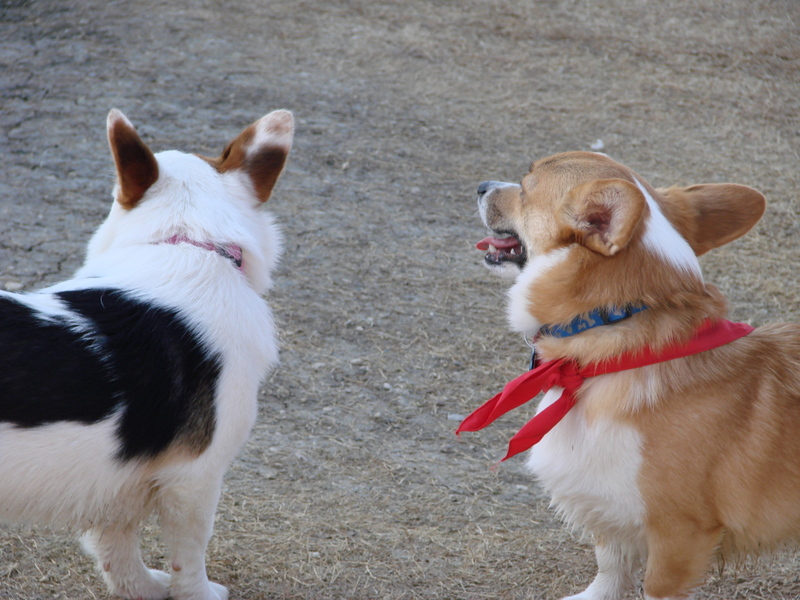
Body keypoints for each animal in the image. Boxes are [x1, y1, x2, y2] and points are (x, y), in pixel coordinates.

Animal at [0, 109, 294, 600]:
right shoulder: (196, 477)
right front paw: (197, 594)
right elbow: (190, 554)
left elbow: (116, 543)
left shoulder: (116, 479)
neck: (191, 243)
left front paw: (141, 587)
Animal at [468, 151, 800, 600]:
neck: (611, 356)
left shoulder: (679, 534)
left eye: (525, 186)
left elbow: (651, 585)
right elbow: (610, 566)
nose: (481, 185)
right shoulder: (611, 511)